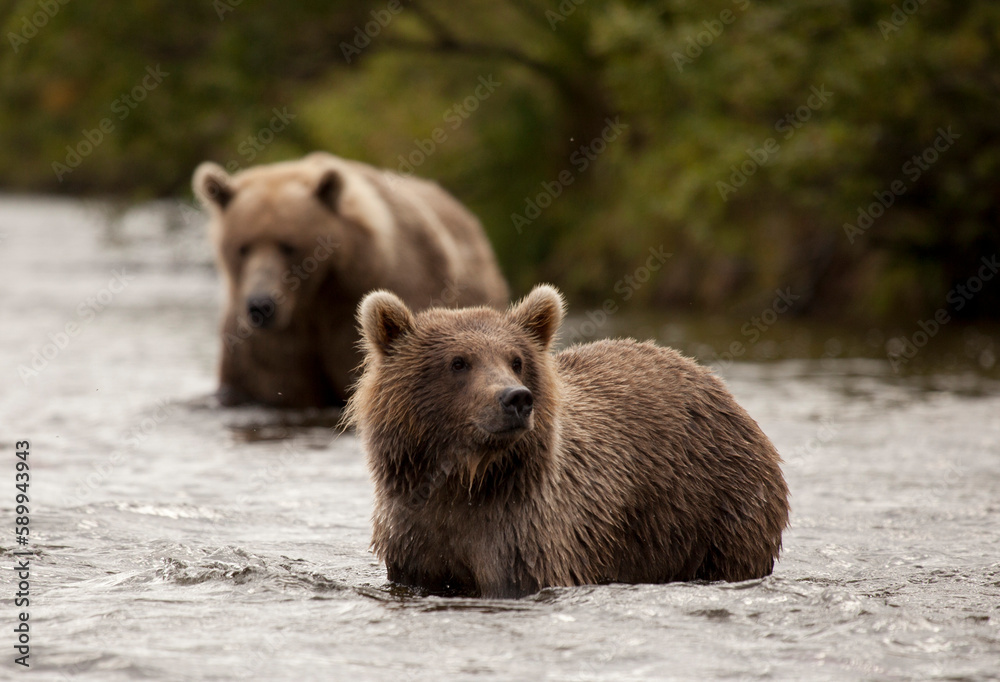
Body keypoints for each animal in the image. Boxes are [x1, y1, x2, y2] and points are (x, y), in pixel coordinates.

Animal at [192, 152, 509, 408]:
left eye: (288, 246)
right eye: (242, 247)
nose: (261, 305)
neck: (315, 297)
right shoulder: (274, 343)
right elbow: (269, 381)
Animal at [345, 284, 790, 599]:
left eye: (516, 360)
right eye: (458, 362)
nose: (516, 398)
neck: (465, 480)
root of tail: (714, 381)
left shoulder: (526, 535)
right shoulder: (414, 538)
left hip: (716, 505)